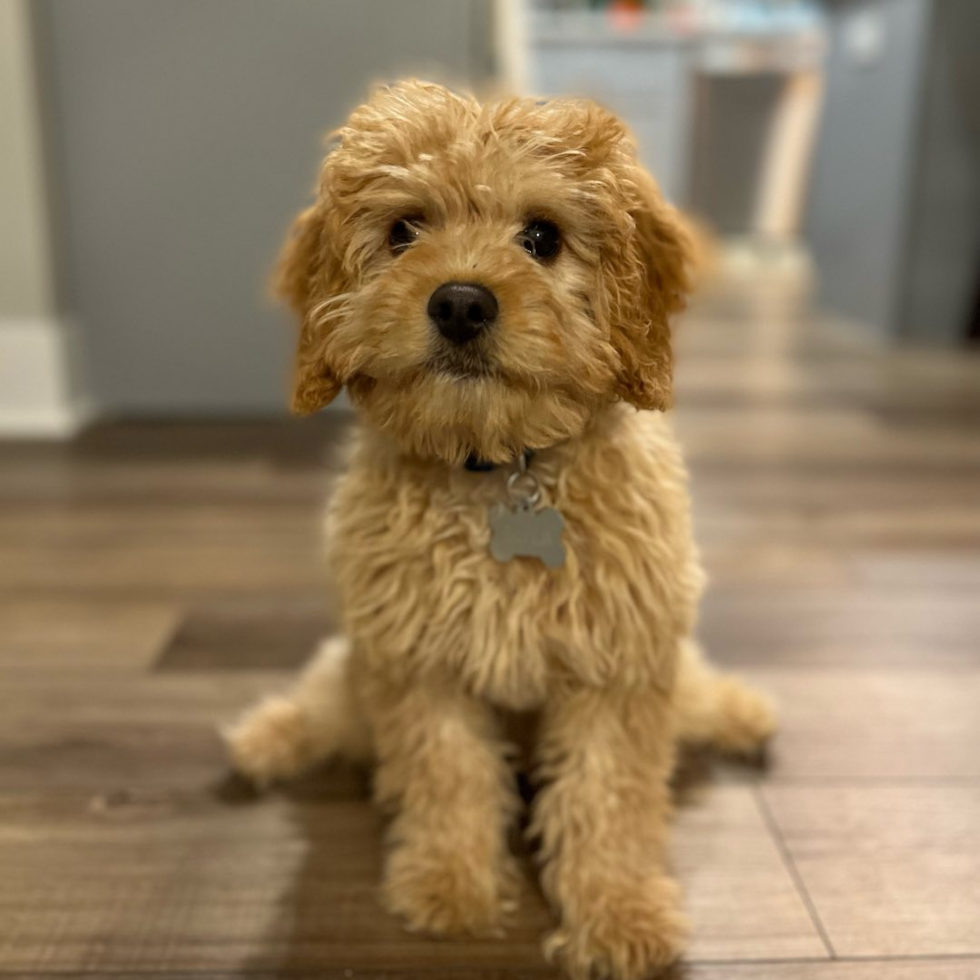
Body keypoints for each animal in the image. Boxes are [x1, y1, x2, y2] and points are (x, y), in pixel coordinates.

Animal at [226, 78, 776, 980]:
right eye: (405, 229)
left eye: (542, 236)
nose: (459, 301)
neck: (498, 468)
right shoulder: (415, 658)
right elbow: (445, 773)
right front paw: (450, 887)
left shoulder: (618, 662)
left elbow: (608, 795)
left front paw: (618, 914)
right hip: (359, 665)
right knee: (330, 698)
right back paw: (266, 738)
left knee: (695, 692)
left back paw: (742, 713)